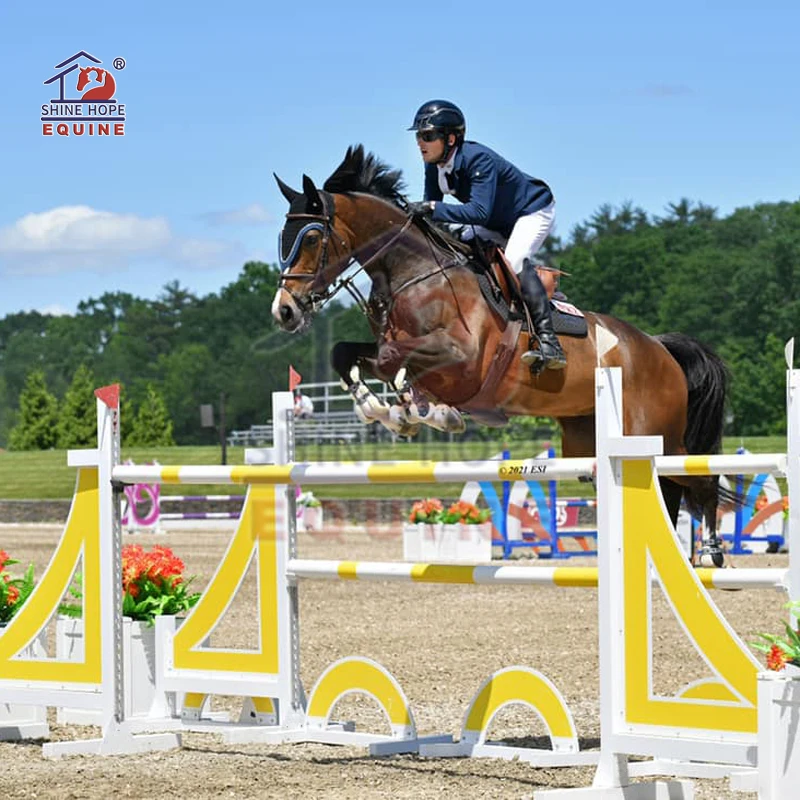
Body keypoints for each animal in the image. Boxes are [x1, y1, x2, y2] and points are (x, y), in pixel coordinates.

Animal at [270, 145, 732, 568]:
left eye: (312, 238)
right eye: (282, 239)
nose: (284, 311)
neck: (415, 273)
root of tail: (658, 346)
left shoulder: (462, 355)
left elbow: (392, 360)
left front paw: (419, 411)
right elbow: (349, 354)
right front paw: (386, 410)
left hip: (659, 435)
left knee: (699, 479)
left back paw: (712, 551)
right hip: (586, 437)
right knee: (666, 490)